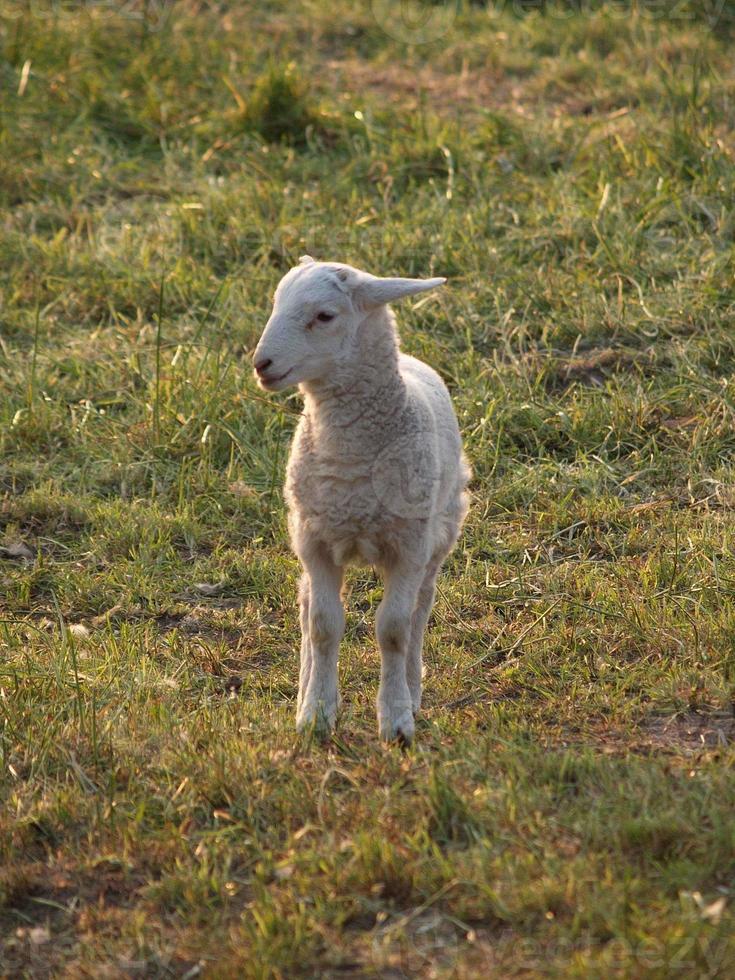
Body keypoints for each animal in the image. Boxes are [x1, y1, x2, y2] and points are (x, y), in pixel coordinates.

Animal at [253, 256, 472, 740]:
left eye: (324, 316)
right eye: (276, 303)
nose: (261, 363)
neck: (350, 454)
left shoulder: (407, 547)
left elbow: (393, 629)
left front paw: (395, 718)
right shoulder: (315, 543)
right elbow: (322, 626)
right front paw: (316, 711)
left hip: (439, 534)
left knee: (420, 609)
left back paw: (412, 687)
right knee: (305, 606)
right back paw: (304, 686)